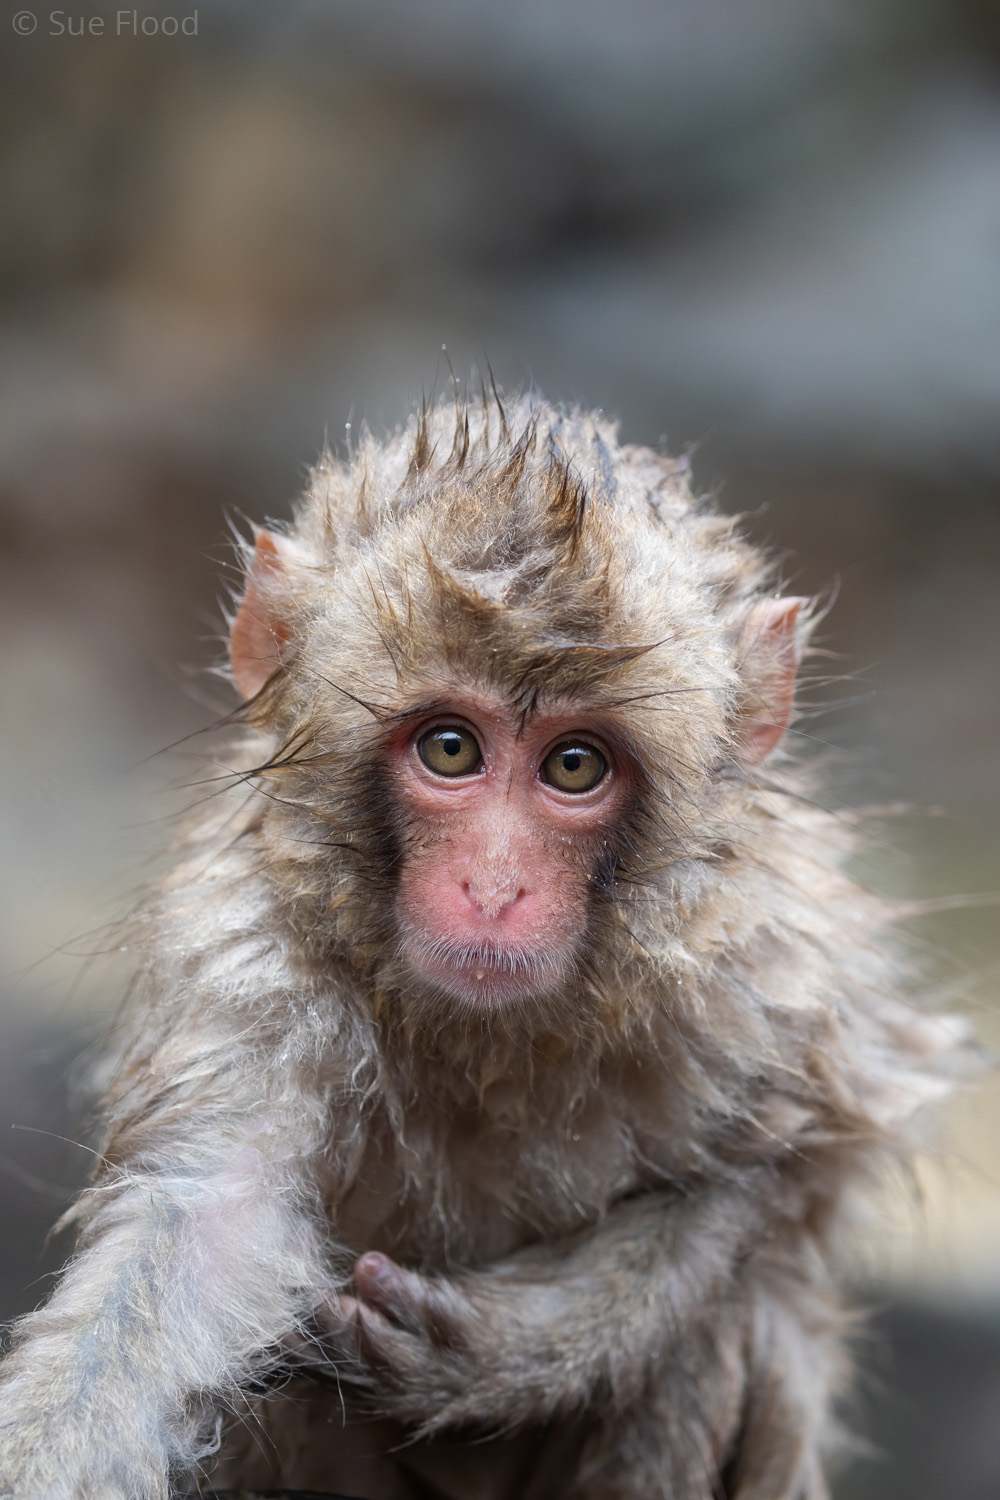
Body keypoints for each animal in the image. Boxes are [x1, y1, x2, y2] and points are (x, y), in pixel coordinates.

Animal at [0, 393, 959, 1494]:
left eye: (575, 766)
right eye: (450, 749)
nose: (494, 891)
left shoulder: (758, 973)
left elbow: (785, 1170)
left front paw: (507, 1352)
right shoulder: (254, 962)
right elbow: (199, 1242)